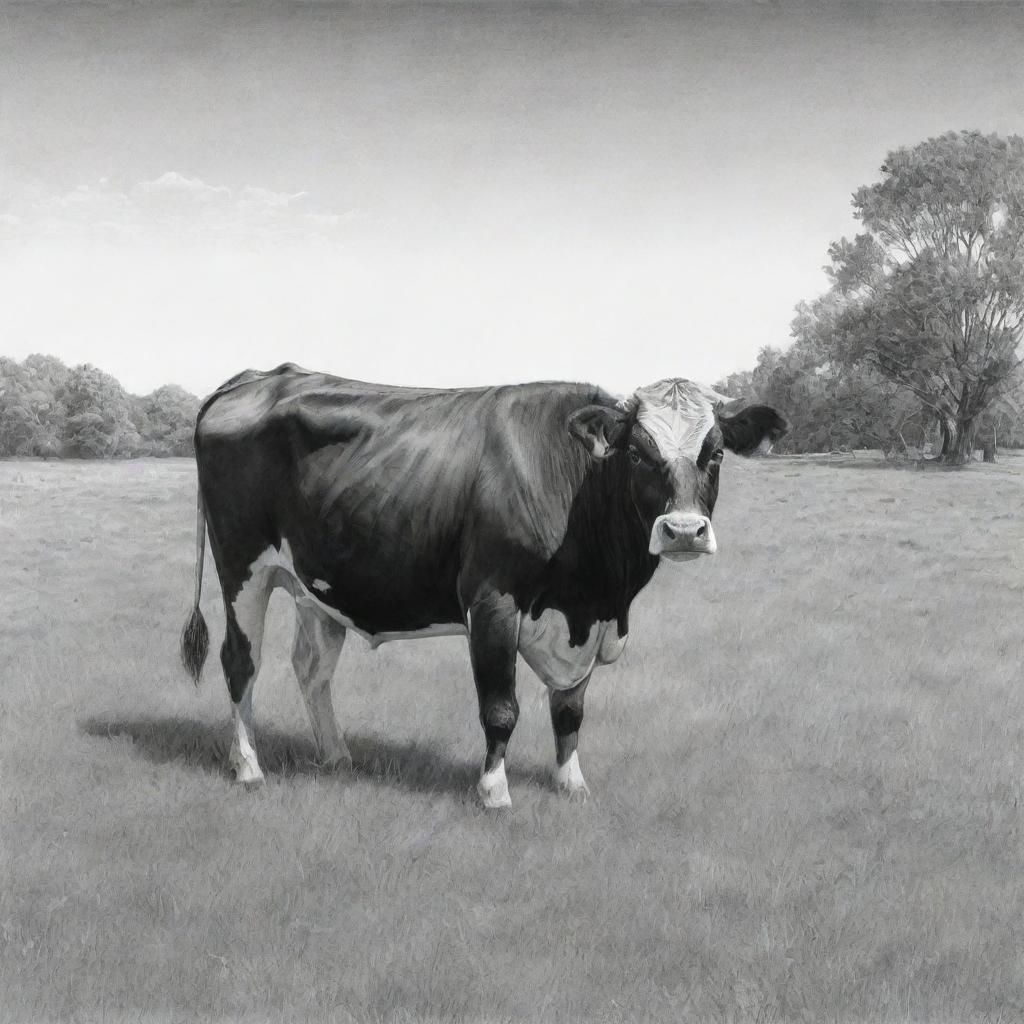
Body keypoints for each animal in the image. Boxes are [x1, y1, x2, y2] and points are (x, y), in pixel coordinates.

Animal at [178, 366, 782, 806]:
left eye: (716, 453)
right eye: (638, 452)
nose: (683, 530)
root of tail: (261, 376)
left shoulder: (584, 623)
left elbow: (570, 709)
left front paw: (571, 784)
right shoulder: (493, 601)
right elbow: (501, 707)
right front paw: (494, 791)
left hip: (317, 584)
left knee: (311, 667)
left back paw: (337, 757)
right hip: (242, 566)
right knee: (241, 662)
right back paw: (248, 767)